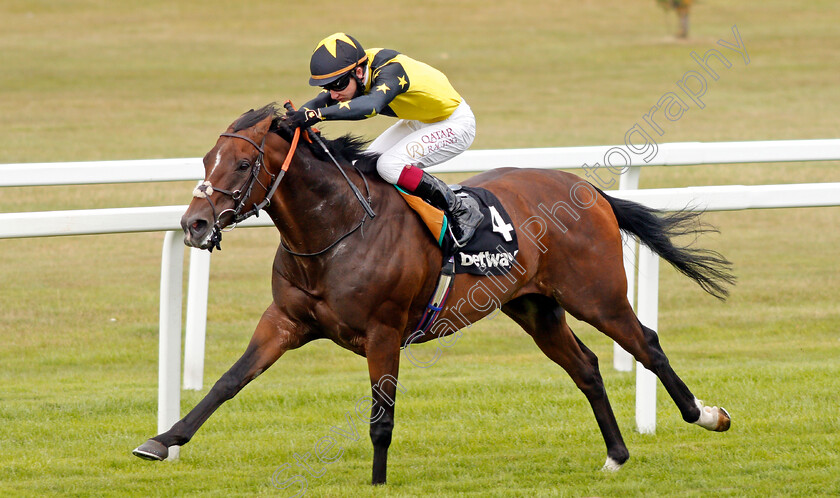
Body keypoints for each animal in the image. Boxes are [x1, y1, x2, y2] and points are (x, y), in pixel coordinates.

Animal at [133, 103, 736, 484]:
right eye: (204, 161)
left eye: (241, 163)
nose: (193, 224)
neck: (336, 231)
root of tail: (585, 186)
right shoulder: (284, 320)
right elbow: (227, 382)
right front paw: (162, 441)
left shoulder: (383, 332)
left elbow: (381, 418)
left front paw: (377, 484)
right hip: (535, 306)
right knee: (586, 366)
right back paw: (616, 455)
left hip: (597, 295)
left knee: (646, 344)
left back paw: (706, 415)